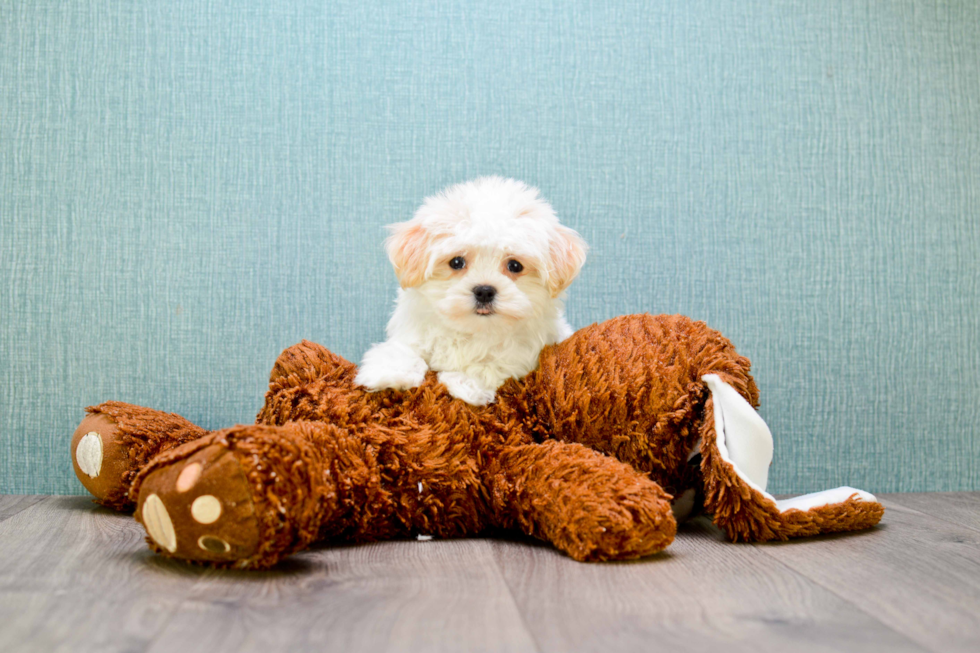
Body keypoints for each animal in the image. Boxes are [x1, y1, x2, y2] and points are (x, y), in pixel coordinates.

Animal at [358, 176, 588, 404]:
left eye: (515, 265)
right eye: (456, 262)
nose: (484, 291)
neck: (473, 331)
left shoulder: (525, 354)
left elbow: (493, 365)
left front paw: (465, 382)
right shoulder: (413, 331)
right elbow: (403, 349)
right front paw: (391, 373)